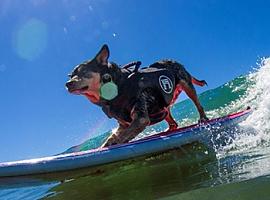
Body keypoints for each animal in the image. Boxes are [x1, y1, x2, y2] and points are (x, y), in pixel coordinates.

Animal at [66, 45, 209, 147]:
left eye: (84, 72)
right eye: (71, 75)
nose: (67, 84)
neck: (118, 86)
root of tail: (173, 61)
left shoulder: (140, 119)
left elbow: (123, 137)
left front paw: (114, 143)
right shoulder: (123, 124)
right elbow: (112, 137)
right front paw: (106, 144)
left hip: (187, 85)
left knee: (198, 104)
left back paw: (203, 118)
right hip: (164, 107)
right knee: (172, 121)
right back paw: (169, 130)